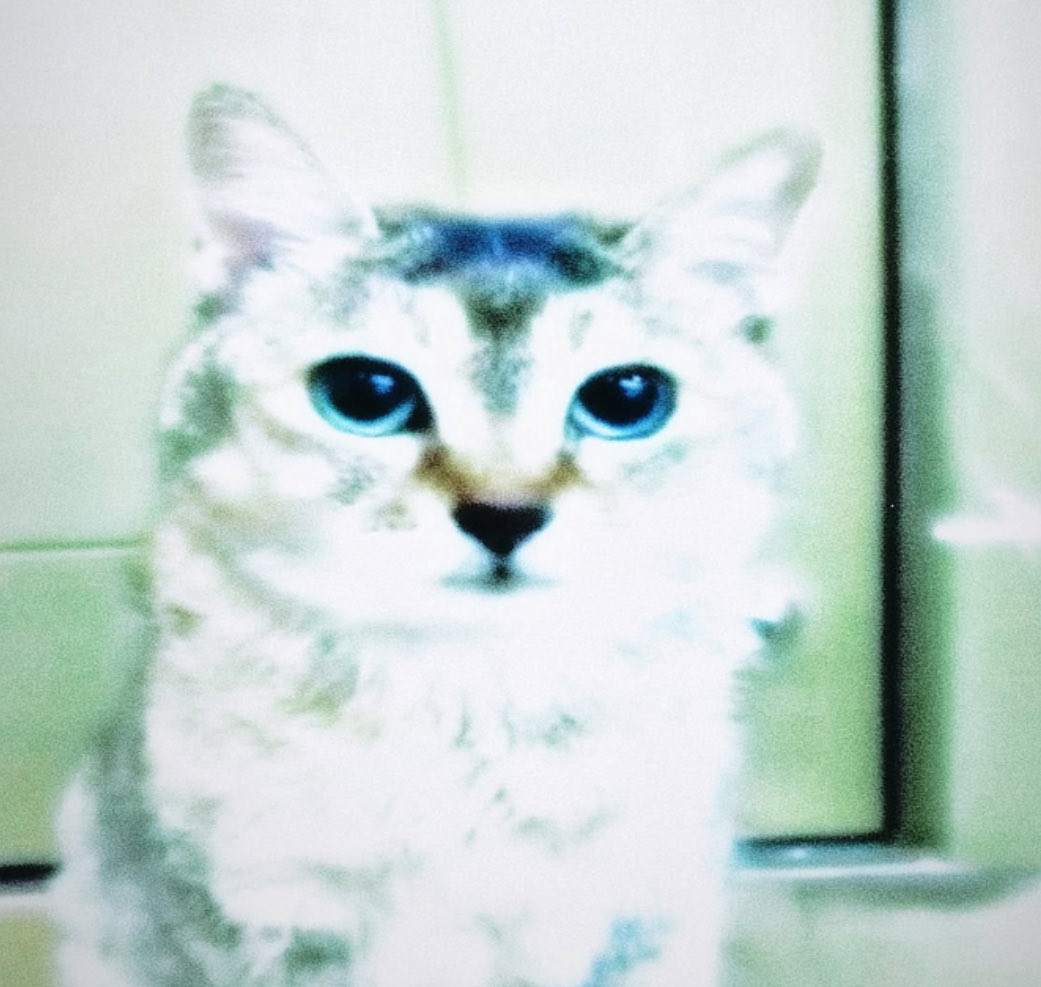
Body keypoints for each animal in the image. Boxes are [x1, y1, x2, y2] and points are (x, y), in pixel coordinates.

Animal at [51, 84, 818, 987]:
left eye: (627, 397)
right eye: (365, 391)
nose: (503, 512)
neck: (473, 694)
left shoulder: (637, 919)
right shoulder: (263, 925)